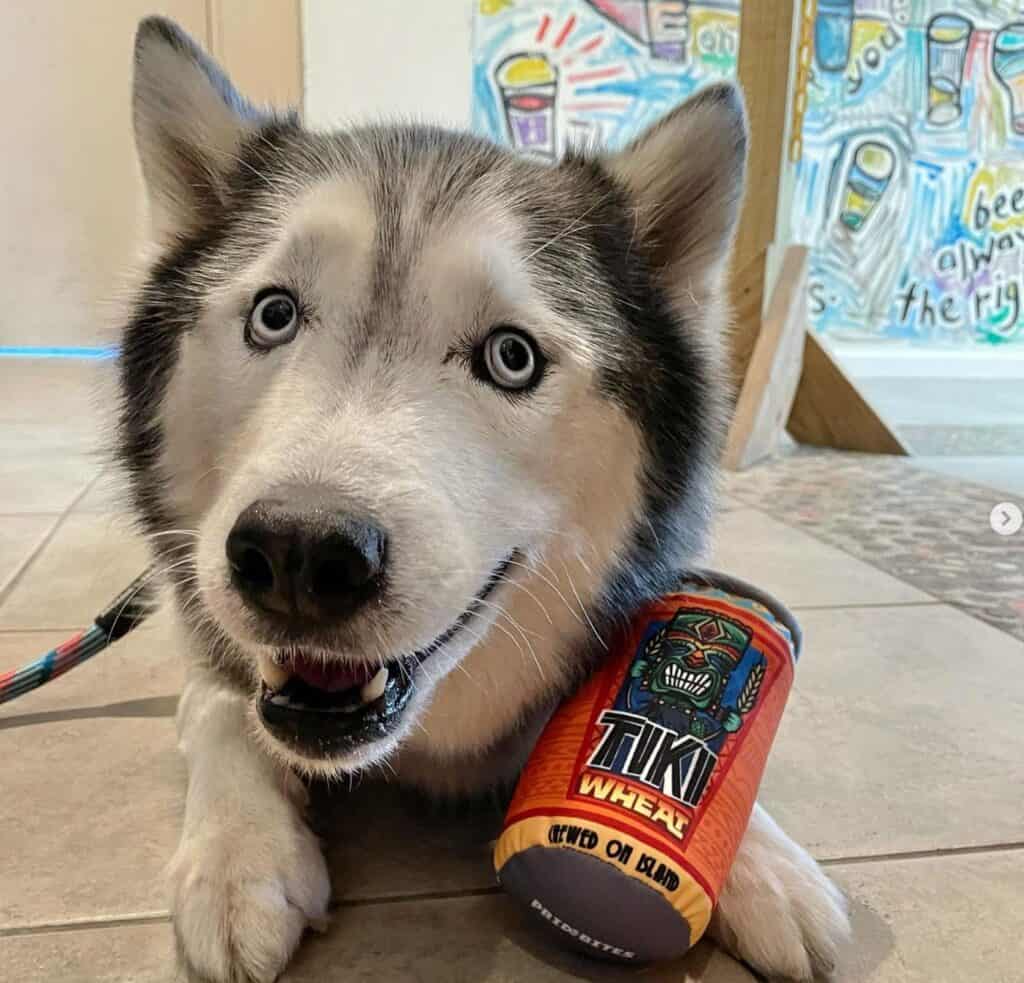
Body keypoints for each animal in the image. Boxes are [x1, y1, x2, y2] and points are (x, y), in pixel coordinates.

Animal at [119, 15, 851, 983]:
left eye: (512, 357)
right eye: (273, 314)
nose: (299, 553)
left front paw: (759, 860)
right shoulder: (199, 621)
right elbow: (219, 706)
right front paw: (242, 852)